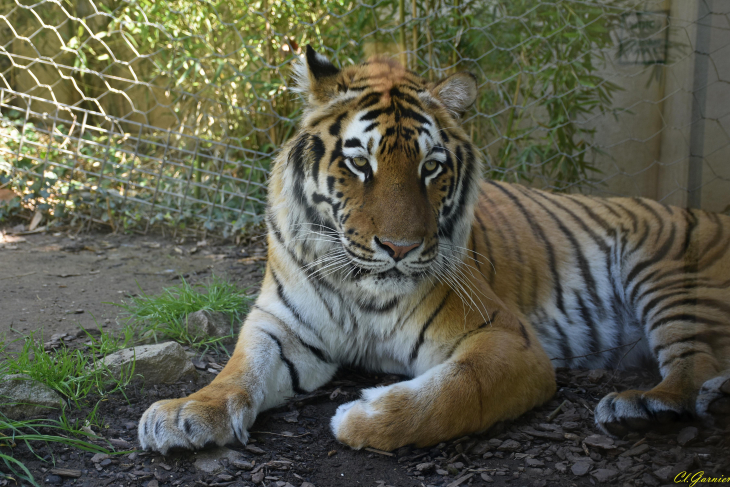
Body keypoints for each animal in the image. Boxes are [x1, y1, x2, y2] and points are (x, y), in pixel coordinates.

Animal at [138, 45, 728, 454]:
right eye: (360, 163)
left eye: (431, 167)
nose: (399, 247)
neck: (361, 287)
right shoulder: (280, 326)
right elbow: (238, 372)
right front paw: (185, 413)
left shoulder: (507, 338)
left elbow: (456, 392)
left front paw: (362, 417)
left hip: (671, 277)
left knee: (697, 365)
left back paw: (647, 407)